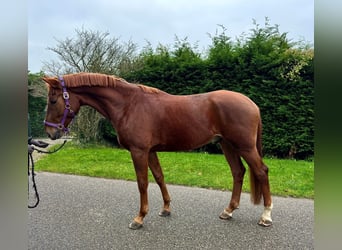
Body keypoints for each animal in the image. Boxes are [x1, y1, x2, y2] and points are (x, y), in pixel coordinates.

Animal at [42, 72, 272, 229]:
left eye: (53, 100)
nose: (50, 132)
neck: (128, 104)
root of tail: (251, 103)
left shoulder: (139, 151)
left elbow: (142, 183)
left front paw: (139, 218)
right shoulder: (150, 151)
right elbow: (159, 177)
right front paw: (166, 209)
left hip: (244, 146)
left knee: (261, 171)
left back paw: (266, 216)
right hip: (228, 145)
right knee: (238, 172)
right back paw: (228, 211)